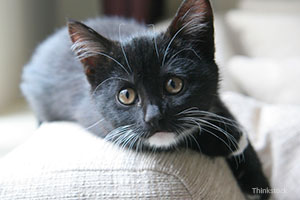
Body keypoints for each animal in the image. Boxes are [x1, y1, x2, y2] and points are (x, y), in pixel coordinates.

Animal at [20, 0, 270, 198]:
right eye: (126, 95)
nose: (154, 117)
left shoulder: (214, 97)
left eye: (174, 84)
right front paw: (227, 141)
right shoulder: (99, 121)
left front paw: (256, 177)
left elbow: (220, 112)